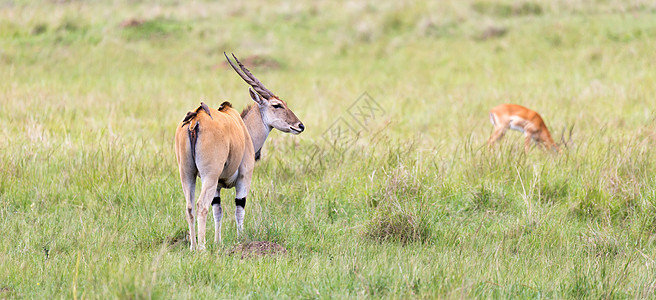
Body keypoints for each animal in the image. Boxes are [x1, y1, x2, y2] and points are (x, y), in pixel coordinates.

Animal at [176, 52, 306, 250]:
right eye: (277, 105)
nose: (300, 126)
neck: (243, 128)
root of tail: (195, 120)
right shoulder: (244, 177)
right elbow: (239, 208)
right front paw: (241, 240)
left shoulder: (217, 186)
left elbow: (218, 210)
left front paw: (218, 241)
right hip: (208, 176)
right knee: (201, 205)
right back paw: (202, 248)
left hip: (187, 174)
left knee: (190, 207)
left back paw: (192, 246)